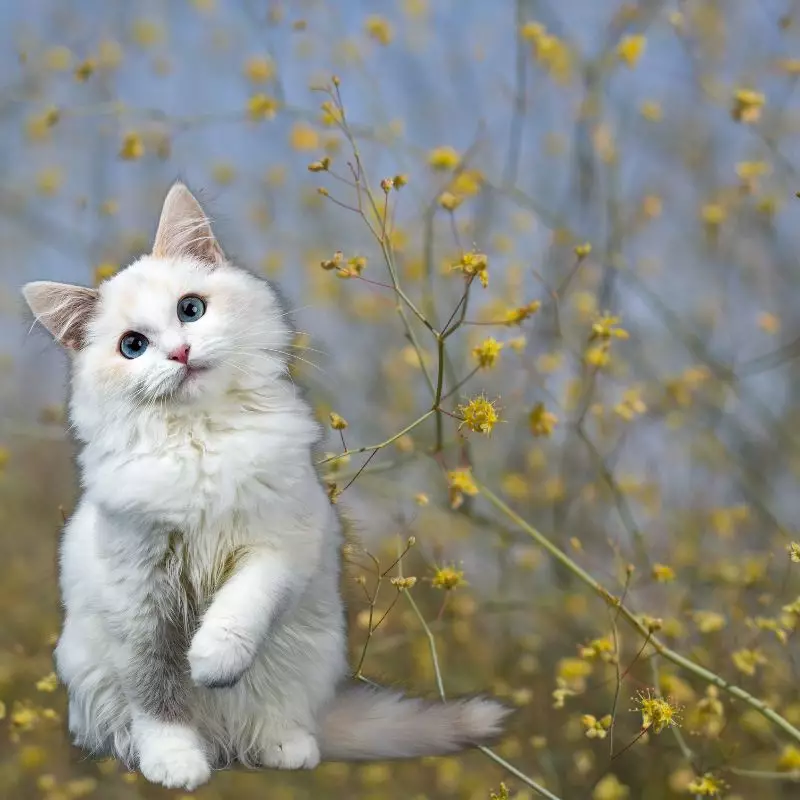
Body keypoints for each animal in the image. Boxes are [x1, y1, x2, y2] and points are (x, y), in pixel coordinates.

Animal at [21, 184, 510, 792]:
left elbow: (240, 608)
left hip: (307, 653)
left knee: (280, 715)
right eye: (132, 346)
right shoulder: (140, 599)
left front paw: (210, 662)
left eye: (190, 309)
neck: (202, 442)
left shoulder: (280, 545)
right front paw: (175, 762)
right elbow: (158, 695)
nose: (180, 353)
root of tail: (226, 742)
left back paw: (285, 747)